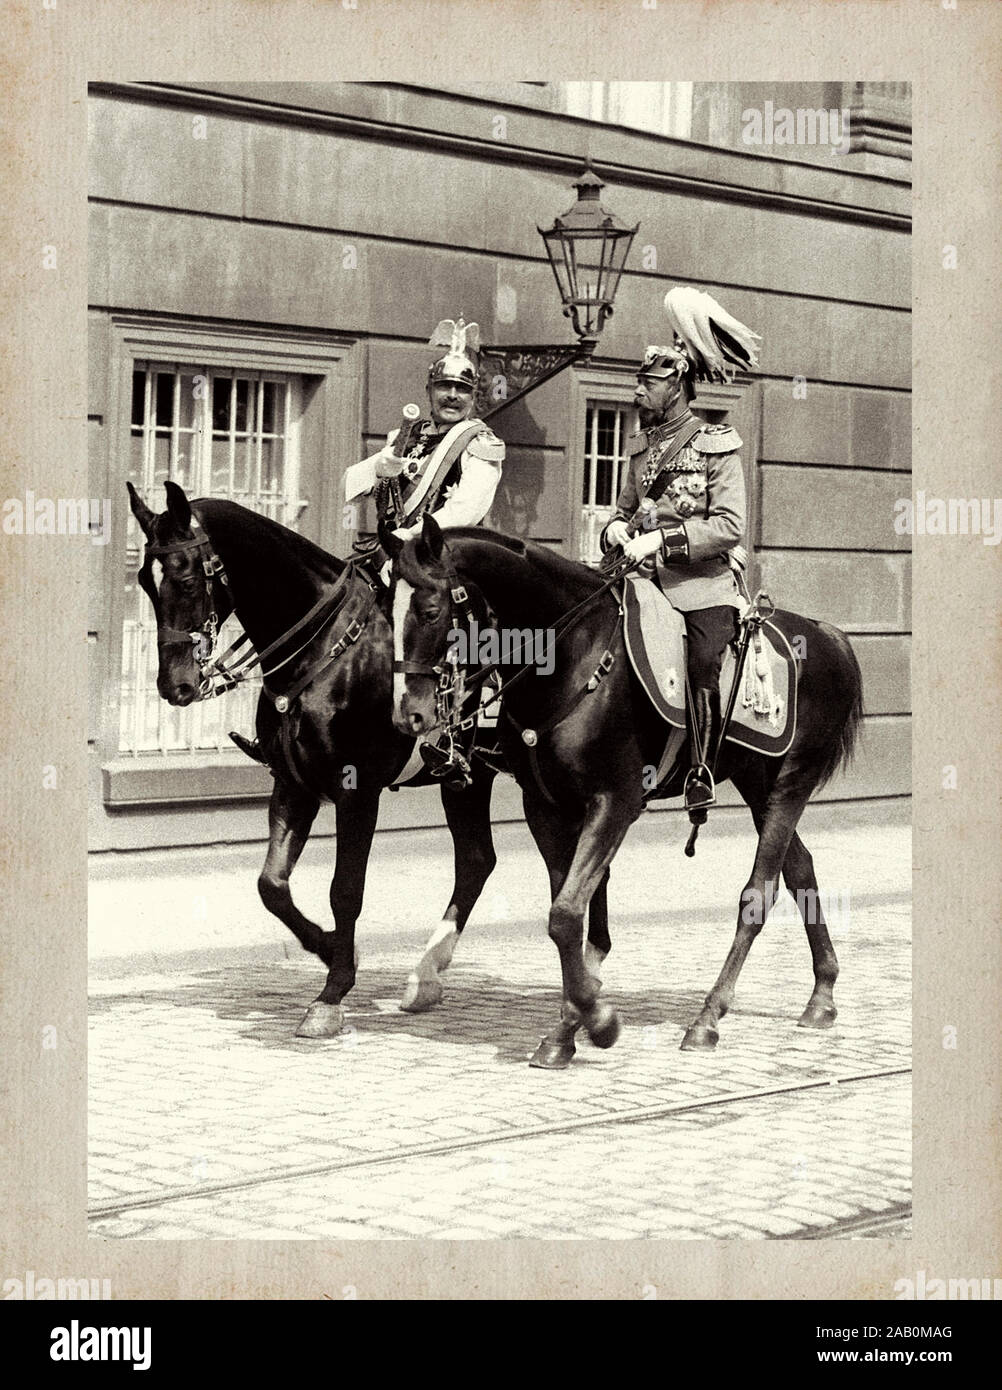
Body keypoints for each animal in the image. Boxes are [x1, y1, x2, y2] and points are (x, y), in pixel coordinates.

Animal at [386, 517, 861, 1067]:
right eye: (385, 608)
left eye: (430, 610)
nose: (409, 714)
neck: (574, 655)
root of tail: (828, 636)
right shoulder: (546, 807)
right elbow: (569, 917)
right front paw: (570, 1026)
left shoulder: (616, 803)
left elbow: (567, 915)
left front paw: (598, 1020)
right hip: (758, 785)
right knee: (801, 868)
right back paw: (822, 994)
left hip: (790, 783)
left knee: (758, 894)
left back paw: (707, 1019)